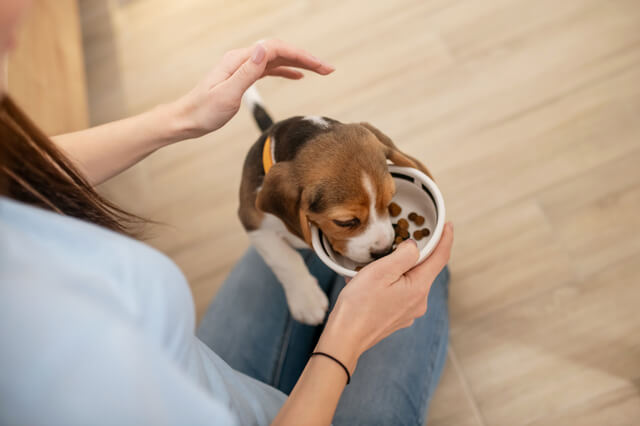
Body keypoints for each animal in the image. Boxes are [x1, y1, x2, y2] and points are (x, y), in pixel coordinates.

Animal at [241, 87, 436, 326]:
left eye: (390, 201)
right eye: (345, 222)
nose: (383, 252)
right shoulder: (253, 222)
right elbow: (284, 259)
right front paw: (307, 300)